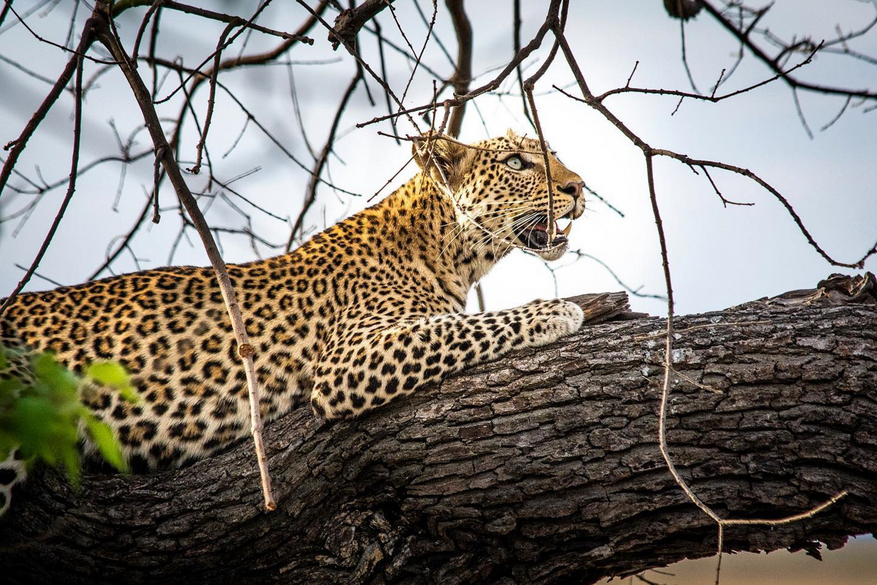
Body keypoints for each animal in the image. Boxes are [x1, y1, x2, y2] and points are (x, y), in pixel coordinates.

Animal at [1, 130, 588, 512]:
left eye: (554, 156)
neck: (450, 251)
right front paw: (559, 310)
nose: (579, 187)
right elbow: (466, 326)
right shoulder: (348, 359)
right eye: (518, 163)